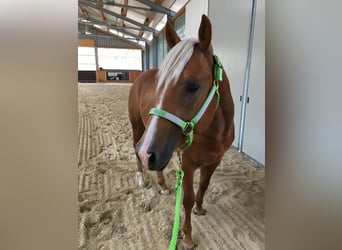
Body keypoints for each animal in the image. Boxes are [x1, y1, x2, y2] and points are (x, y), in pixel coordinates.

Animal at [128, 14, 235, 249]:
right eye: (159, 84)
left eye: (194, 85)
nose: (146, 152)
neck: (213, 133)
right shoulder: (187, 163)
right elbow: (186, 199)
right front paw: (187, 236)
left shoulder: (215, 161)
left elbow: (203, 187)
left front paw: (200, 209)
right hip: (139, 129)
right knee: (135, 149)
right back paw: (141, 179)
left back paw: (162, 185)